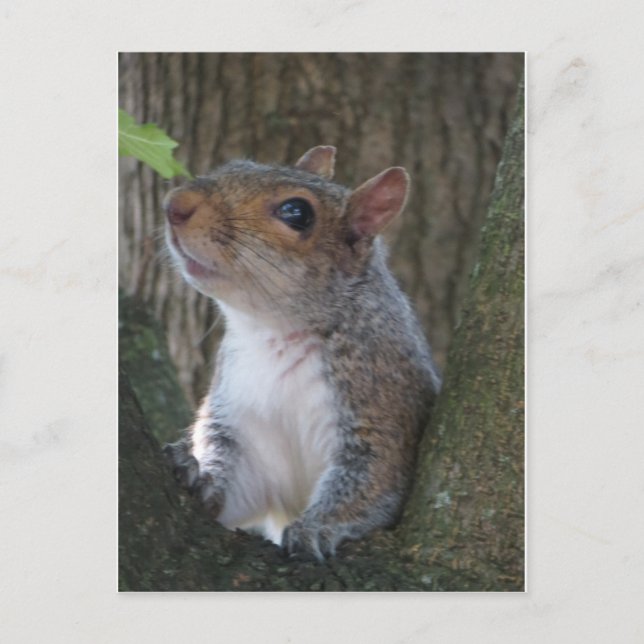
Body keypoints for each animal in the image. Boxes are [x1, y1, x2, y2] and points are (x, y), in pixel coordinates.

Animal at [163, 146, 441, 559]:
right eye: (233, 165)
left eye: (296, 212)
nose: (175, 204)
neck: (275, 334)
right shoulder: (242, 424)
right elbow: (235, 482)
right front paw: (199, 476)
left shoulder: (383, 410)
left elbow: (370, 482)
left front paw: (318, 528)